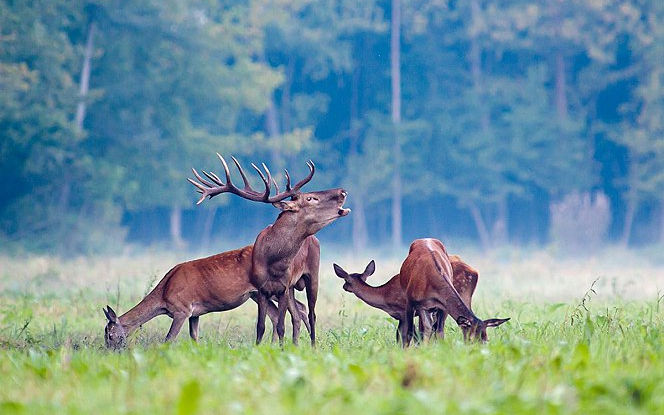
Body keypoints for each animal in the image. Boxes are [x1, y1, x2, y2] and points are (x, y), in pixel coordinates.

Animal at [103, 245, 312, 350]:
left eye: (110, 335)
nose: (109, 352)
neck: (164, 295)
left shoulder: (182, 309)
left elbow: (169, 338)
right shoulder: (195, 313)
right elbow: (194, 337)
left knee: (293, 310)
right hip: (258, 293)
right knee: (288, 311)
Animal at [189, 154, 350, 346]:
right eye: (311, 198)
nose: (343, 191)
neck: (274, 263)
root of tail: (314, 238)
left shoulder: (283, 288)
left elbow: (280, 326)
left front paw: (280, 349)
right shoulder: (262, 289)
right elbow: (260, 326)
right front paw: (260, 347)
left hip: (312, 274)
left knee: (312, 314)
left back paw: (313, 346)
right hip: (293, 287)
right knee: (298, 315)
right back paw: (296, 344)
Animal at [334, 255, 480, 342]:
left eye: (346, 280)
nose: (344, 287)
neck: (385, 297)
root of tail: (475, 272)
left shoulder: (404, 310)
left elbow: (404, 336)